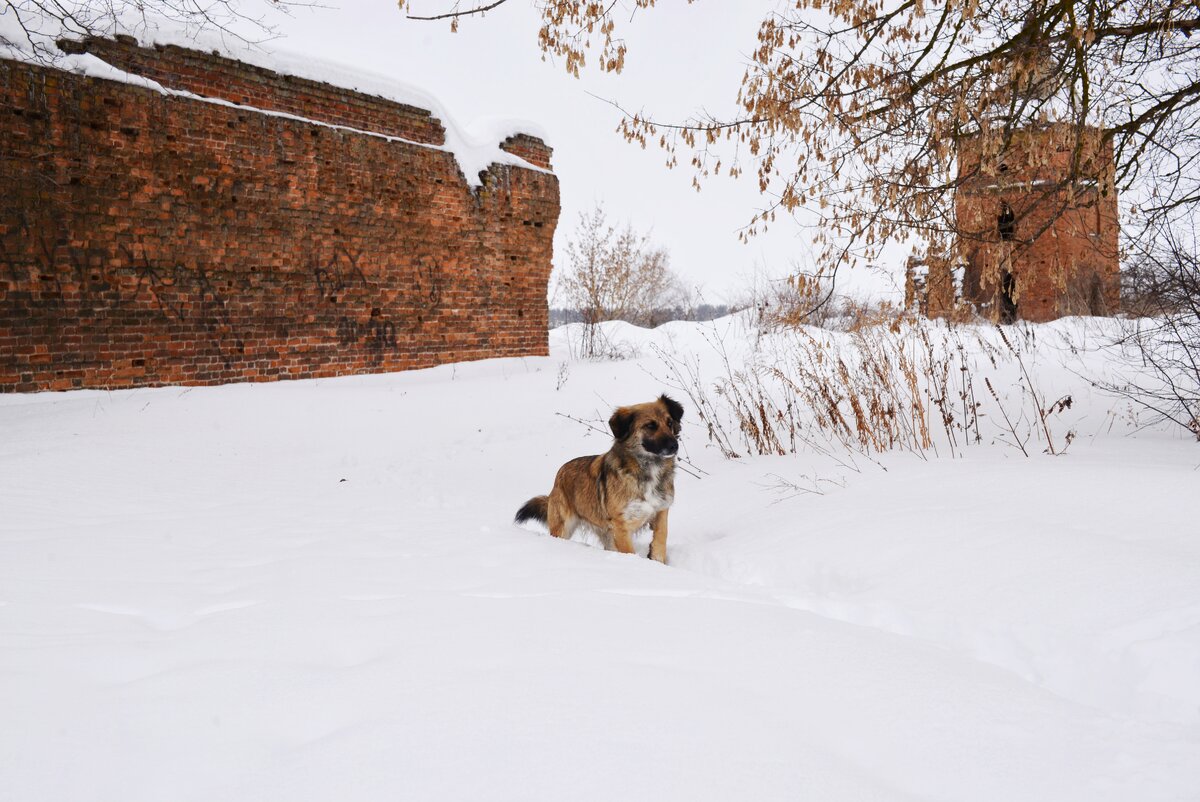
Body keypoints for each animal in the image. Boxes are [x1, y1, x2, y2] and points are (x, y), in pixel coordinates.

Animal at [516, 396, 686, 564]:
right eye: (650, 425)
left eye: (669, 423)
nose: (674, 446)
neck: (648, 468)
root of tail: (560, 474)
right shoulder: (621, 525)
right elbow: (629, 552)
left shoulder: (660, 512)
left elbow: (660, 541)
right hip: (564, 527)